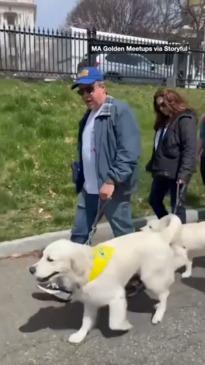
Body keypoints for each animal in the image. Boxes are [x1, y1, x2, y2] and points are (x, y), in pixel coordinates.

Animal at [30, 212, 181, 342]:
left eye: (50, 259)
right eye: (42, 256)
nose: (31, 269)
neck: (87, 271)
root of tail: (160, 236)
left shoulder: (117, 296)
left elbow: (114, 323)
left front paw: (125, 325)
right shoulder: (90, 301)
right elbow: (85, 321)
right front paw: (80, 335)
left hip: (150, 278)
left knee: (165, 293)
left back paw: (158, 314)